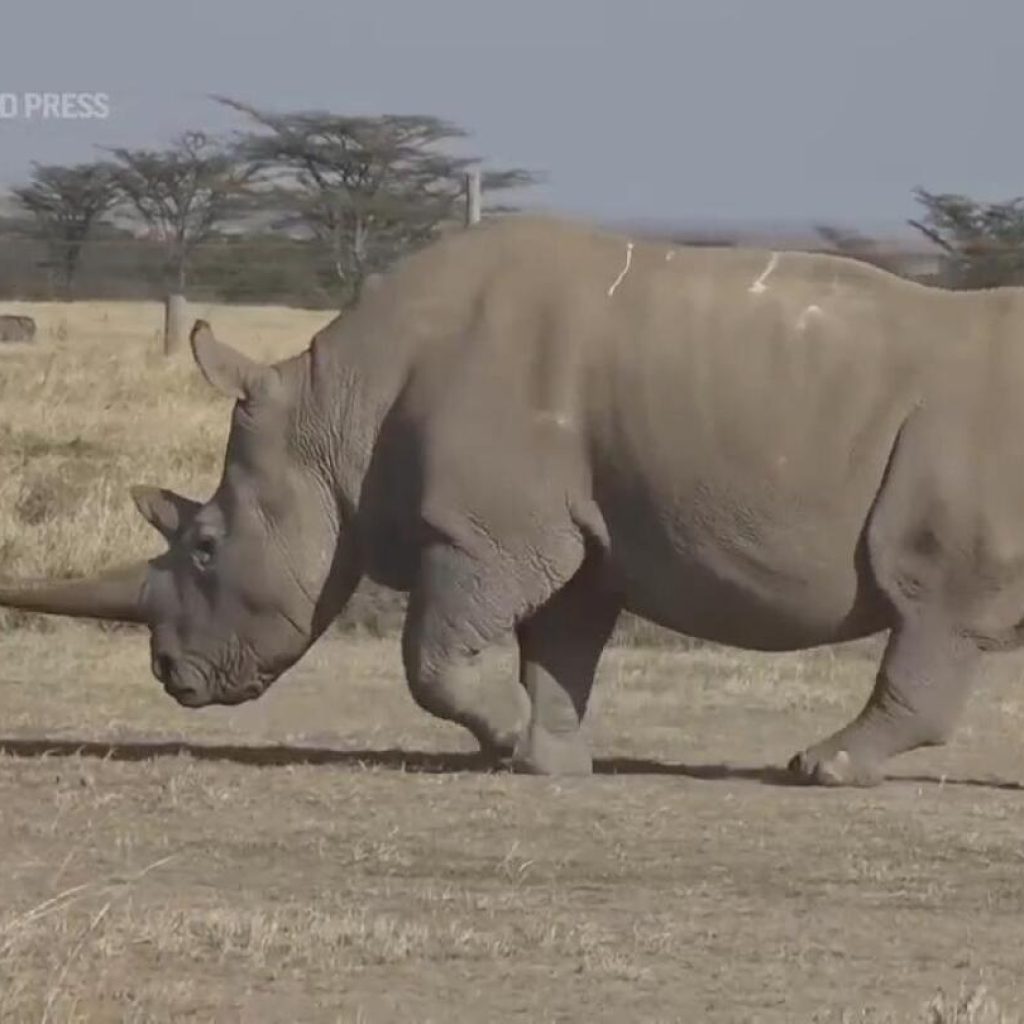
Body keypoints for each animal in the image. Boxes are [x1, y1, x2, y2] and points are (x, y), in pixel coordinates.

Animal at [0, 218, 1015, 782]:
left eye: (207, 546)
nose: (172, 678)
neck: (334, 409)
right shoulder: (578, 536)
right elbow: (558, 657)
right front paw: (550, 759)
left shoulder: (489, 532)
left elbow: (432, 656)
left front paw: (501, 741)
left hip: (958, 445)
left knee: (935, 607)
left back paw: (820, 769)